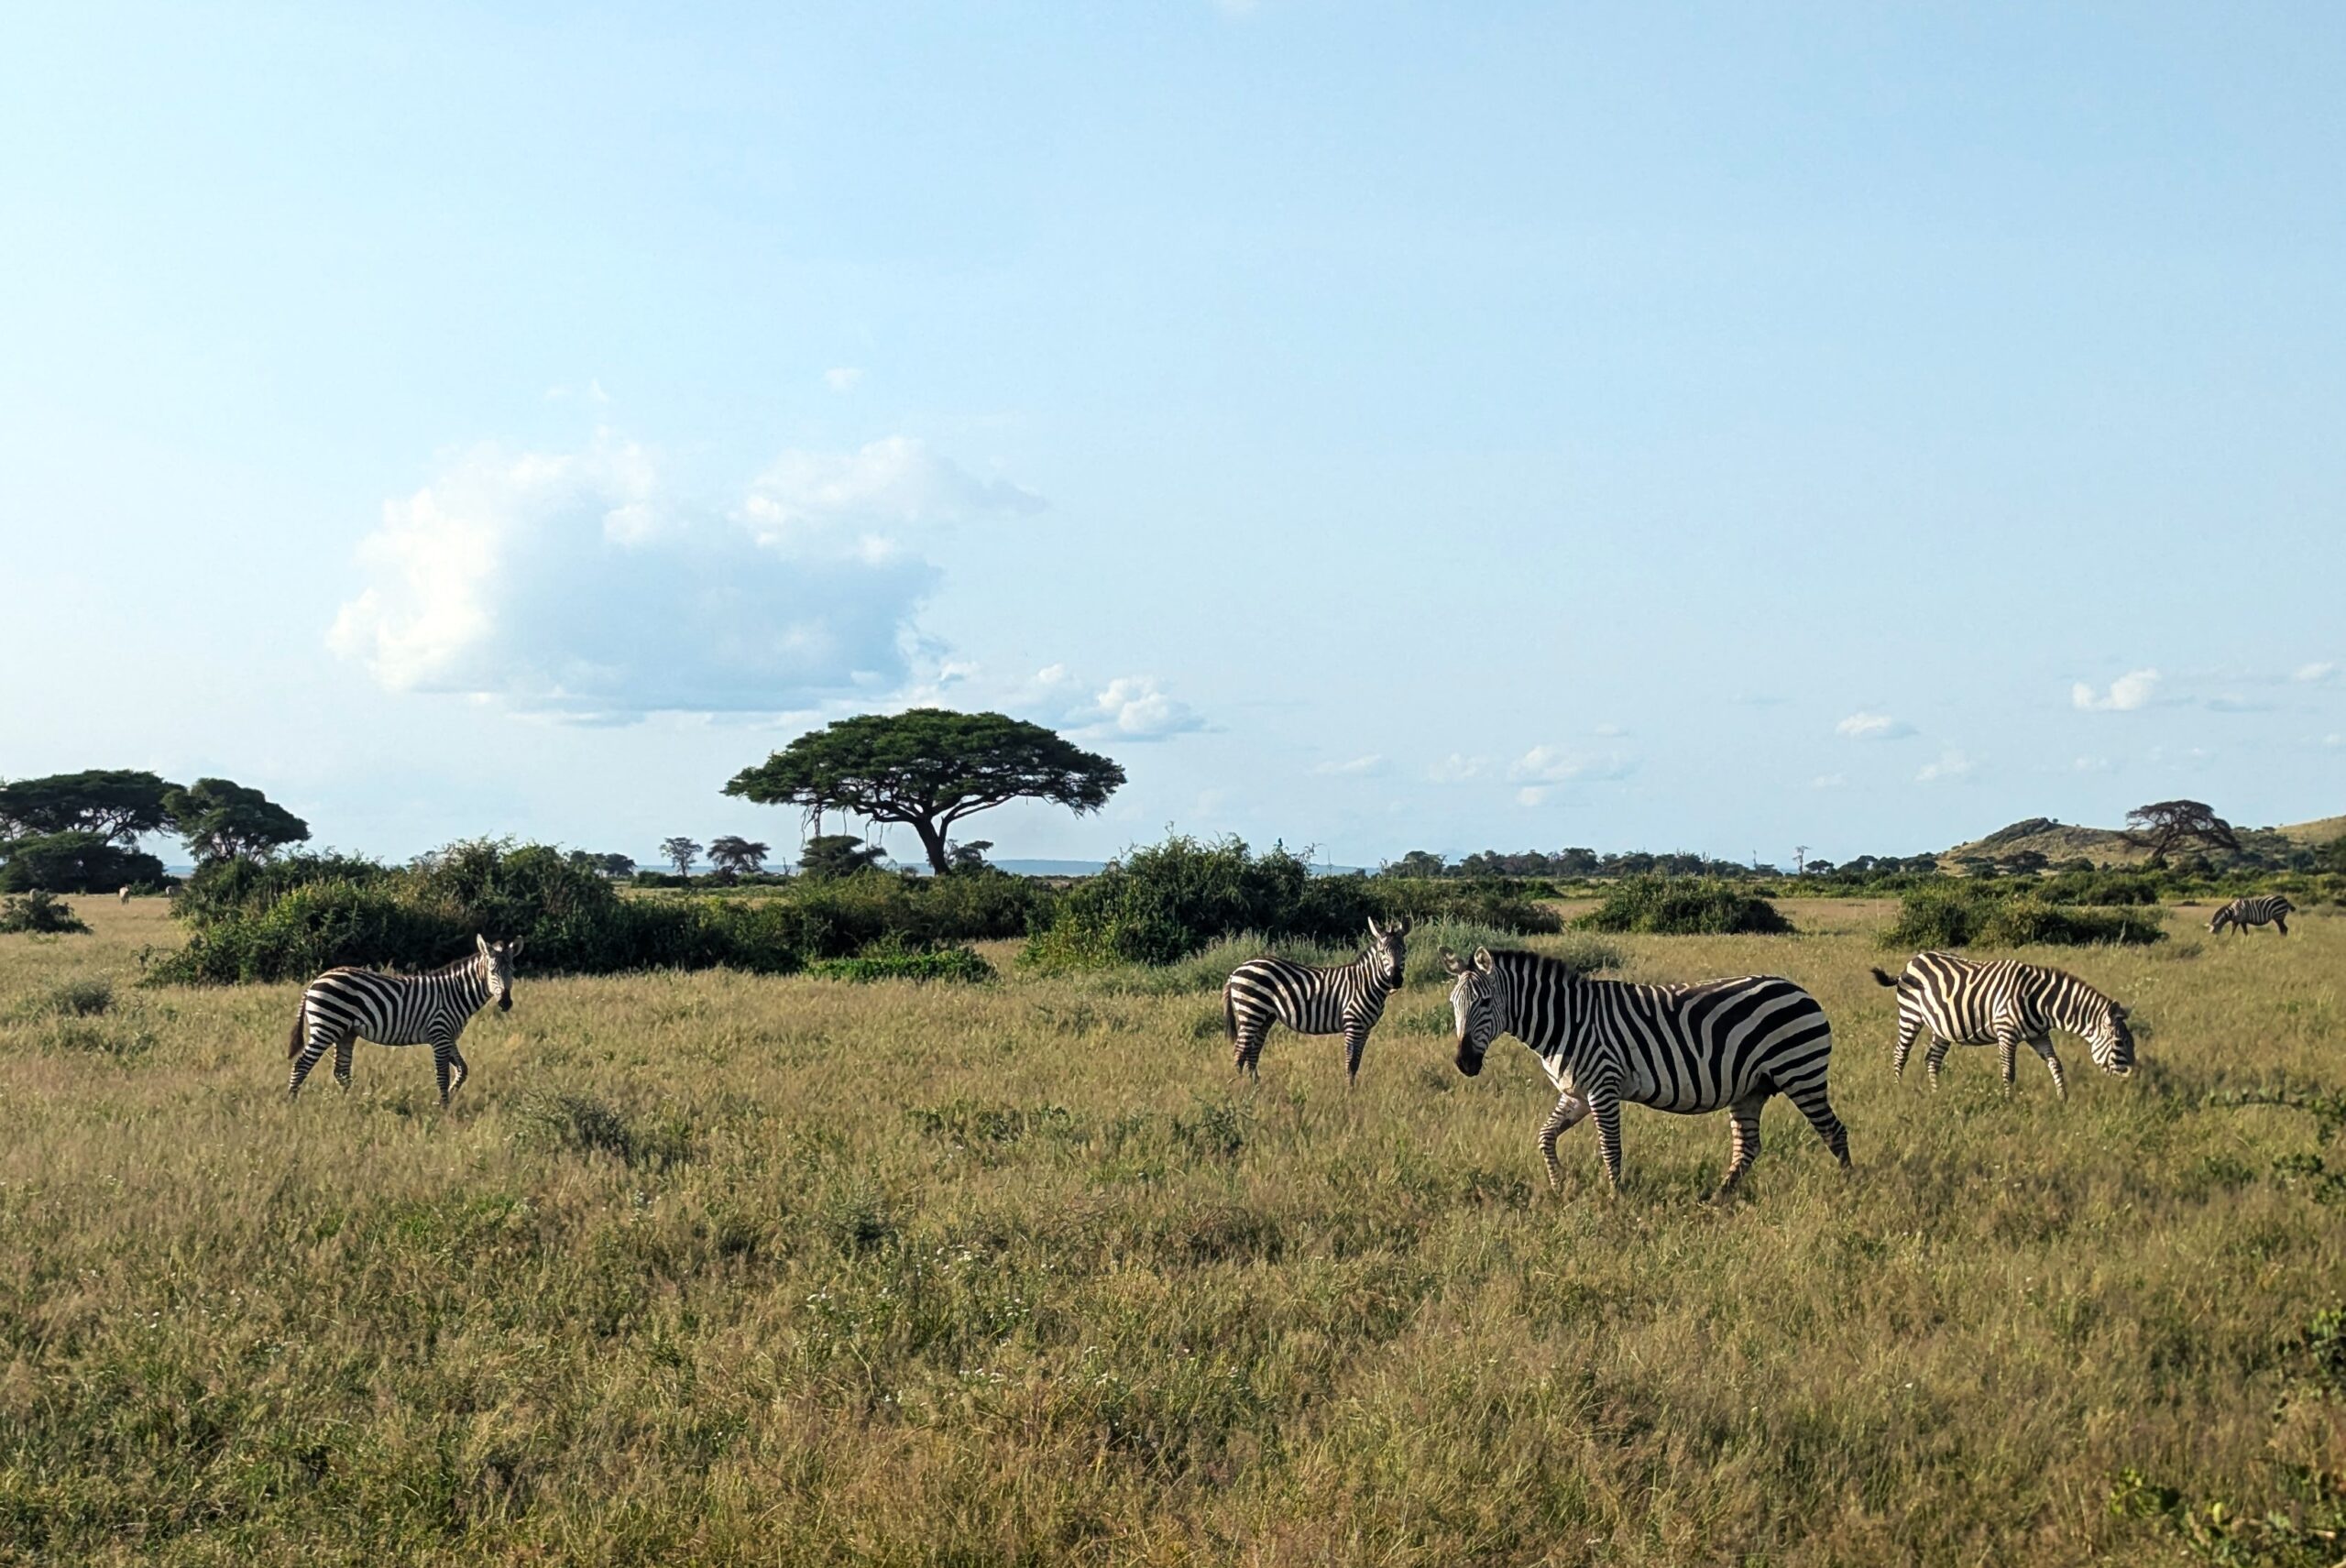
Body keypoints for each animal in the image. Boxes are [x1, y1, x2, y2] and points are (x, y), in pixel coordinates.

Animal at [286, 935, 523, 1106]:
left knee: (341, 1071)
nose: (506, 1003)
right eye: (492, 971)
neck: (455, 993)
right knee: (302, 1064)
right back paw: (292, 1103)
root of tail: (315, 981)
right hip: (327, 1026)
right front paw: (444, 1107)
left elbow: (463, 1070)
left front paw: (449, 1098)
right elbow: (443, 1075)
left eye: (512, 971)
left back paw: (351, 1104)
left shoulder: (448, 1037)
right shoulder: (439, 1033)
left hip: (346, 1032)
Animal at [1223, 915, 1411, 1085]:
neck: (1366, 983)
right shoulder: (1353, 1024)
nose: (1396, 980)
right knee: (1239, 1052)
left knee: (1252, 1052)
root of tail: (1236, 971)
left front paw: (1353, 1090)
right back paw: (1242, 1090)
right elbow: (1350, 1063)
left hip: (1265, 1016)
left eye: (1404, 951)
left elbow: (1356, 1063)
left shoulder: (1366, 1028)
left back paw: (1256, 1088)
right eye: (1382, 952)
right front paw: (1349, 1093)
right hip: (1251, 1011)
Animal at [1443, 946, 1848, 1201]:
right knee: (1747, 1145)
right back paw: (1717, 1199)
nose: (1464, 1063)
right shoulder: (1576, 1093)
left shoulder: (1603, 1086)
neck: (1566, 1022)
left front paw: (1615, 1199)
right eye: (1453, 1004)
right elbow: (1545, 1137)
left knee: (1834, 1131)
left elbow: (1611, 1148)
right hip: (1750, 1088)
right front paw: (1561, 1187)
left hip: (1801, 1073)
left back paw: (1850, 1189)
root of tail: (1800, 990)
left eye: (1484, 1002)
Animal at [1871, 952, 2134, 1099]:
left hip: (1942, 1025)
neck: (2040, 1002)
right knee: (1900, 1053)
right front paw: (2009, 1102)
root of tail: (1911, 963)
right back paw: (1898, 1089)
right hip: (1910, 1015)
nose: (2132, 1076)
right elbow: (2009, 1071)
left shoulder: (2039, 1035)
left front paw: (2063, 1098)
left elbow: (2056, 1065)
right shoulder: (2007, 1032)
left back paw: (1937, 1094)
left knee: (1932, 1059)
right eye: (2120, 1043)